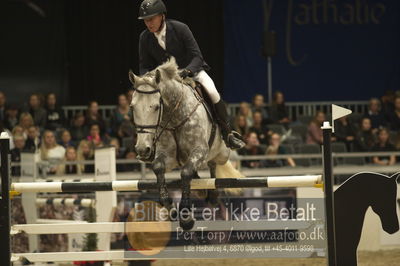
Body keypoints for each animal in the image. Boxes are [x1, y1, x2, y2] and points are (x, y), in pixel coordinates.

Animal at [129, 58, 241, 231]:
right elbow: (158, 167)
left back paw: (213, 193)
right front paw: (170, 207)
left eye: (156, 107)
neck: (174, 117)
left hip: (222, 154)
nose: (142, 149)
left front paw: (186, 216)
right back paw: (203, 192)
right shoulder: (168, 156)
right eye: (132, 107)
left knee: (213, 164)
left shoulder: (200, 150)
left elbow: (186, 173)